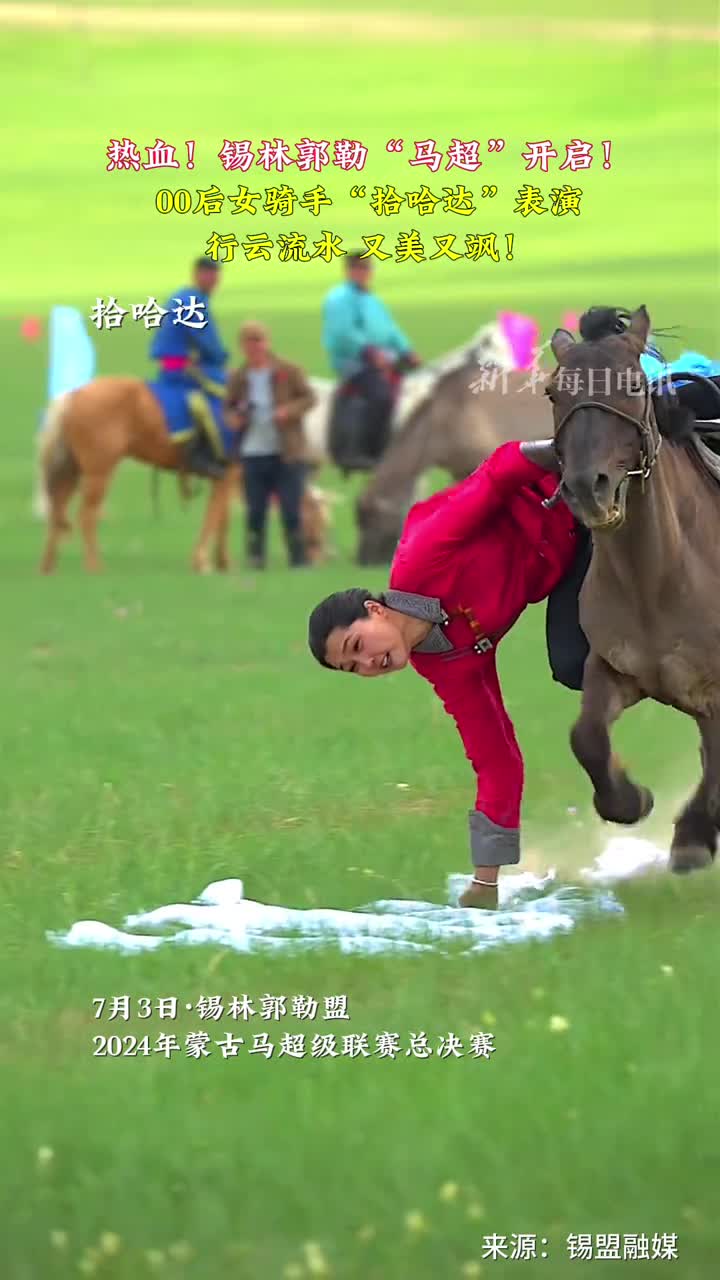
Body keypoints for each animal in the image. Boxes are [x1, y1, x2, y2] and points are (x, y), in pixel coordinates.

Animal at [547, 305, 720, 874]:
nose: (587, 488)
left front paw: (693, 835)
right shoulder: (614, 666)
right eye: (553, 392)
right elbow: (586, 738)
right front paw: (629, 801)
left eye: (631, 384)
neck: (657, 581)